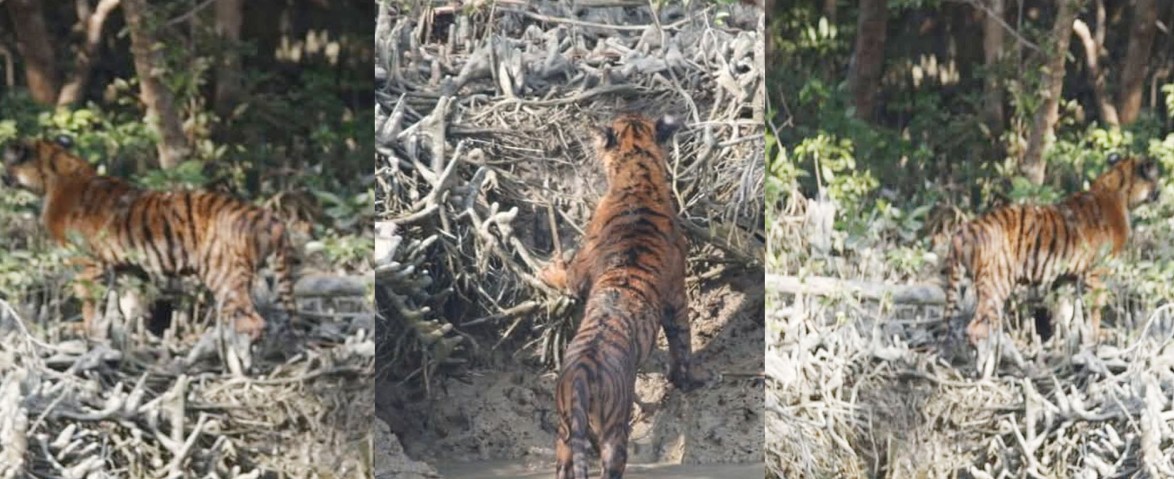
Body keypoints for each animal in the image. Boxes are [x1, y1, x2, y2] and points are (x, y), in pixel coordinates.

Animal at [2, 136, 295, 340]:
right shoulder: (128, 268)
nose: (3, 178)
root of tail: (268, 217)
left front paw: (88, 331)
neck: (55, 171)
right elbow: (130, 304)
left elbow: (88, 300)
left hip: (224, 276)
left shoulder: (85, 262)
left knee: (253, 321)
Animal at [537, 113, 704, 479]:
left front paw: (545, 269)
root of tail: (582, 371)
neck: (637, 168)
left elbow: (565, 275)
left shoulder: (583, 266)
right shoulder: (676, 292)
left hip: (580, 429)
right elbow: (682, 340)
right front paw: (683, 379)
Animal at [943, 153, 1164, 345]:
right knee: (976, 327)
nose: (1160, 192)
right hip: (996, 284)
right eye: (1156, 177)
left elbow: (1065, 311)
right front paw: (1096, 336)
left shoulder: (1065, 277)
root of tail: (964, 230)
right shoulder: (1097, 271)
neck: (1119, 189)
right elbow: (1095, 306)